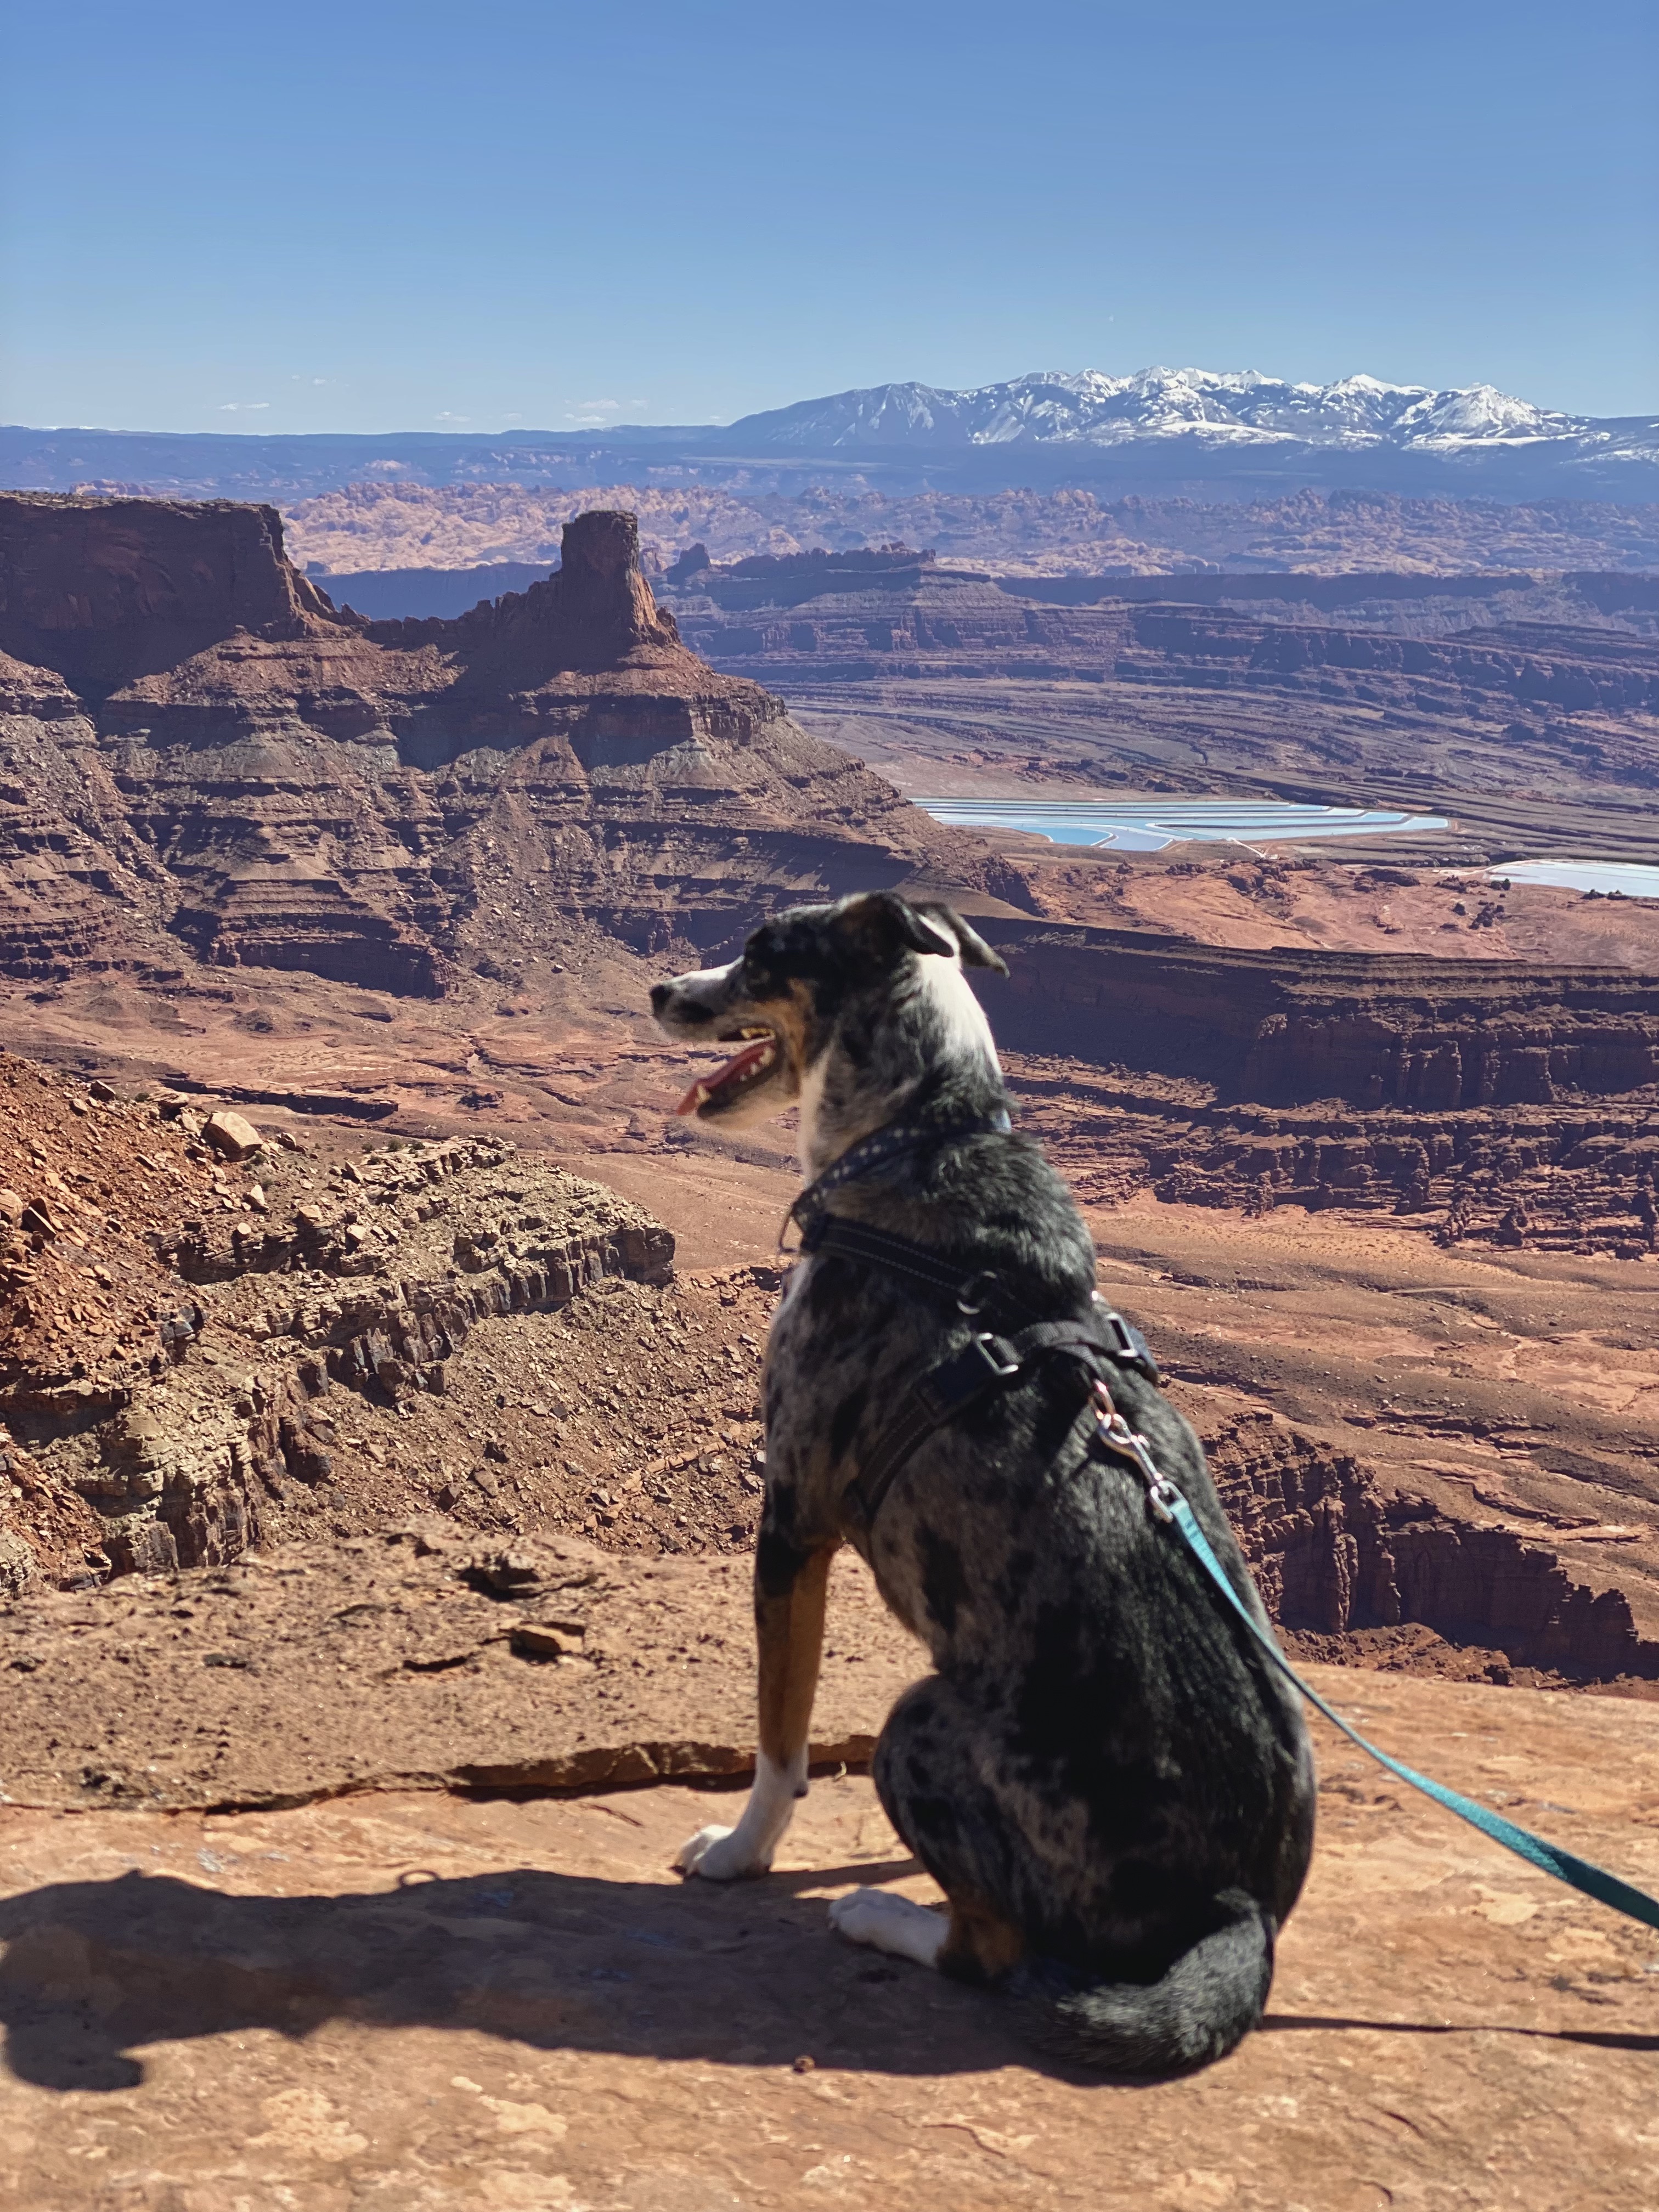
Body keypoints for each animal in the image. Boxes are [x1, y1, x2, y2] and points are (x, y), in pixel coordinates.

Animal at [650, 889, 1309, 2061]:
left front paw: (739, 1850)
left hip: (920, 1720)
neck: (917, 1133)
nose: (657, 990)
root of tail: (1237, 1913)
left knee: (990, 1952)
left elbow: (779, 1730)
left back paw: (882, 1915)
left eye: (764, 951)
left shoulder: (792, 1516)